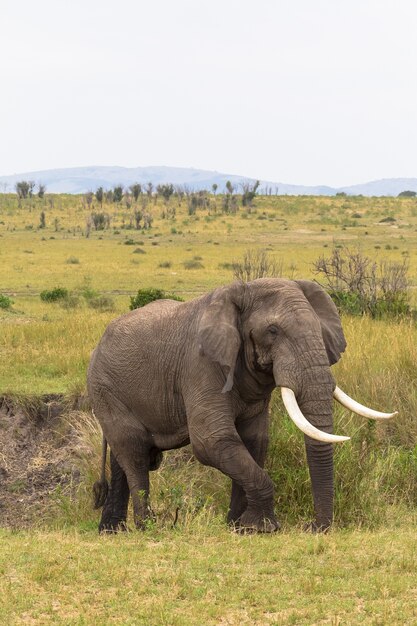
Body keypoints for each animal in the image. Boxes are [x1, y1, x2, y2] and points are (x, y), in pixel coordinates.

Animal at [87, 278, 394, 532]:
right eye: (272, 331)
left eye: (319, 329)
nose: (313, 527)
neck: (243, 291)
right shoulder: (200, 364)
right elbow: (212, 440)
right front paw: (263, 527)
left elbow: (254, 441)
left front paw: (239, 527)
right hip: (104, 388)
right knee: (135, 455)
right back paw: (147, 528)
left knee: (122, 458)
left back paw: (111, 531)